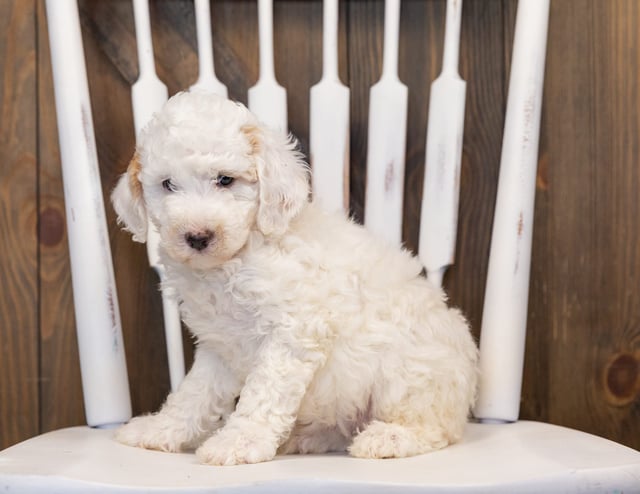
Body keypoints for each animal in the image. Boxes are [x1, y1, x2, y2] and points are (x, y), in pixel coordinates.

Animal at [111, 90, 480, 466]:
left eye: (225, 180)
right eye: (168, 185)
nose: (197, 237)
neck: (236, 260)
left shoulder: (293, 331)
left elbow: (263, 394)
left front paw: (238, 441)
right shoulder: (220, 345)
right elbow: (194, 393)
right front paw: (160, 429)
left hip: (410, 376)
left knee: (435, 429)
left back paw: (388, 437)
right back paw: (303, 438)